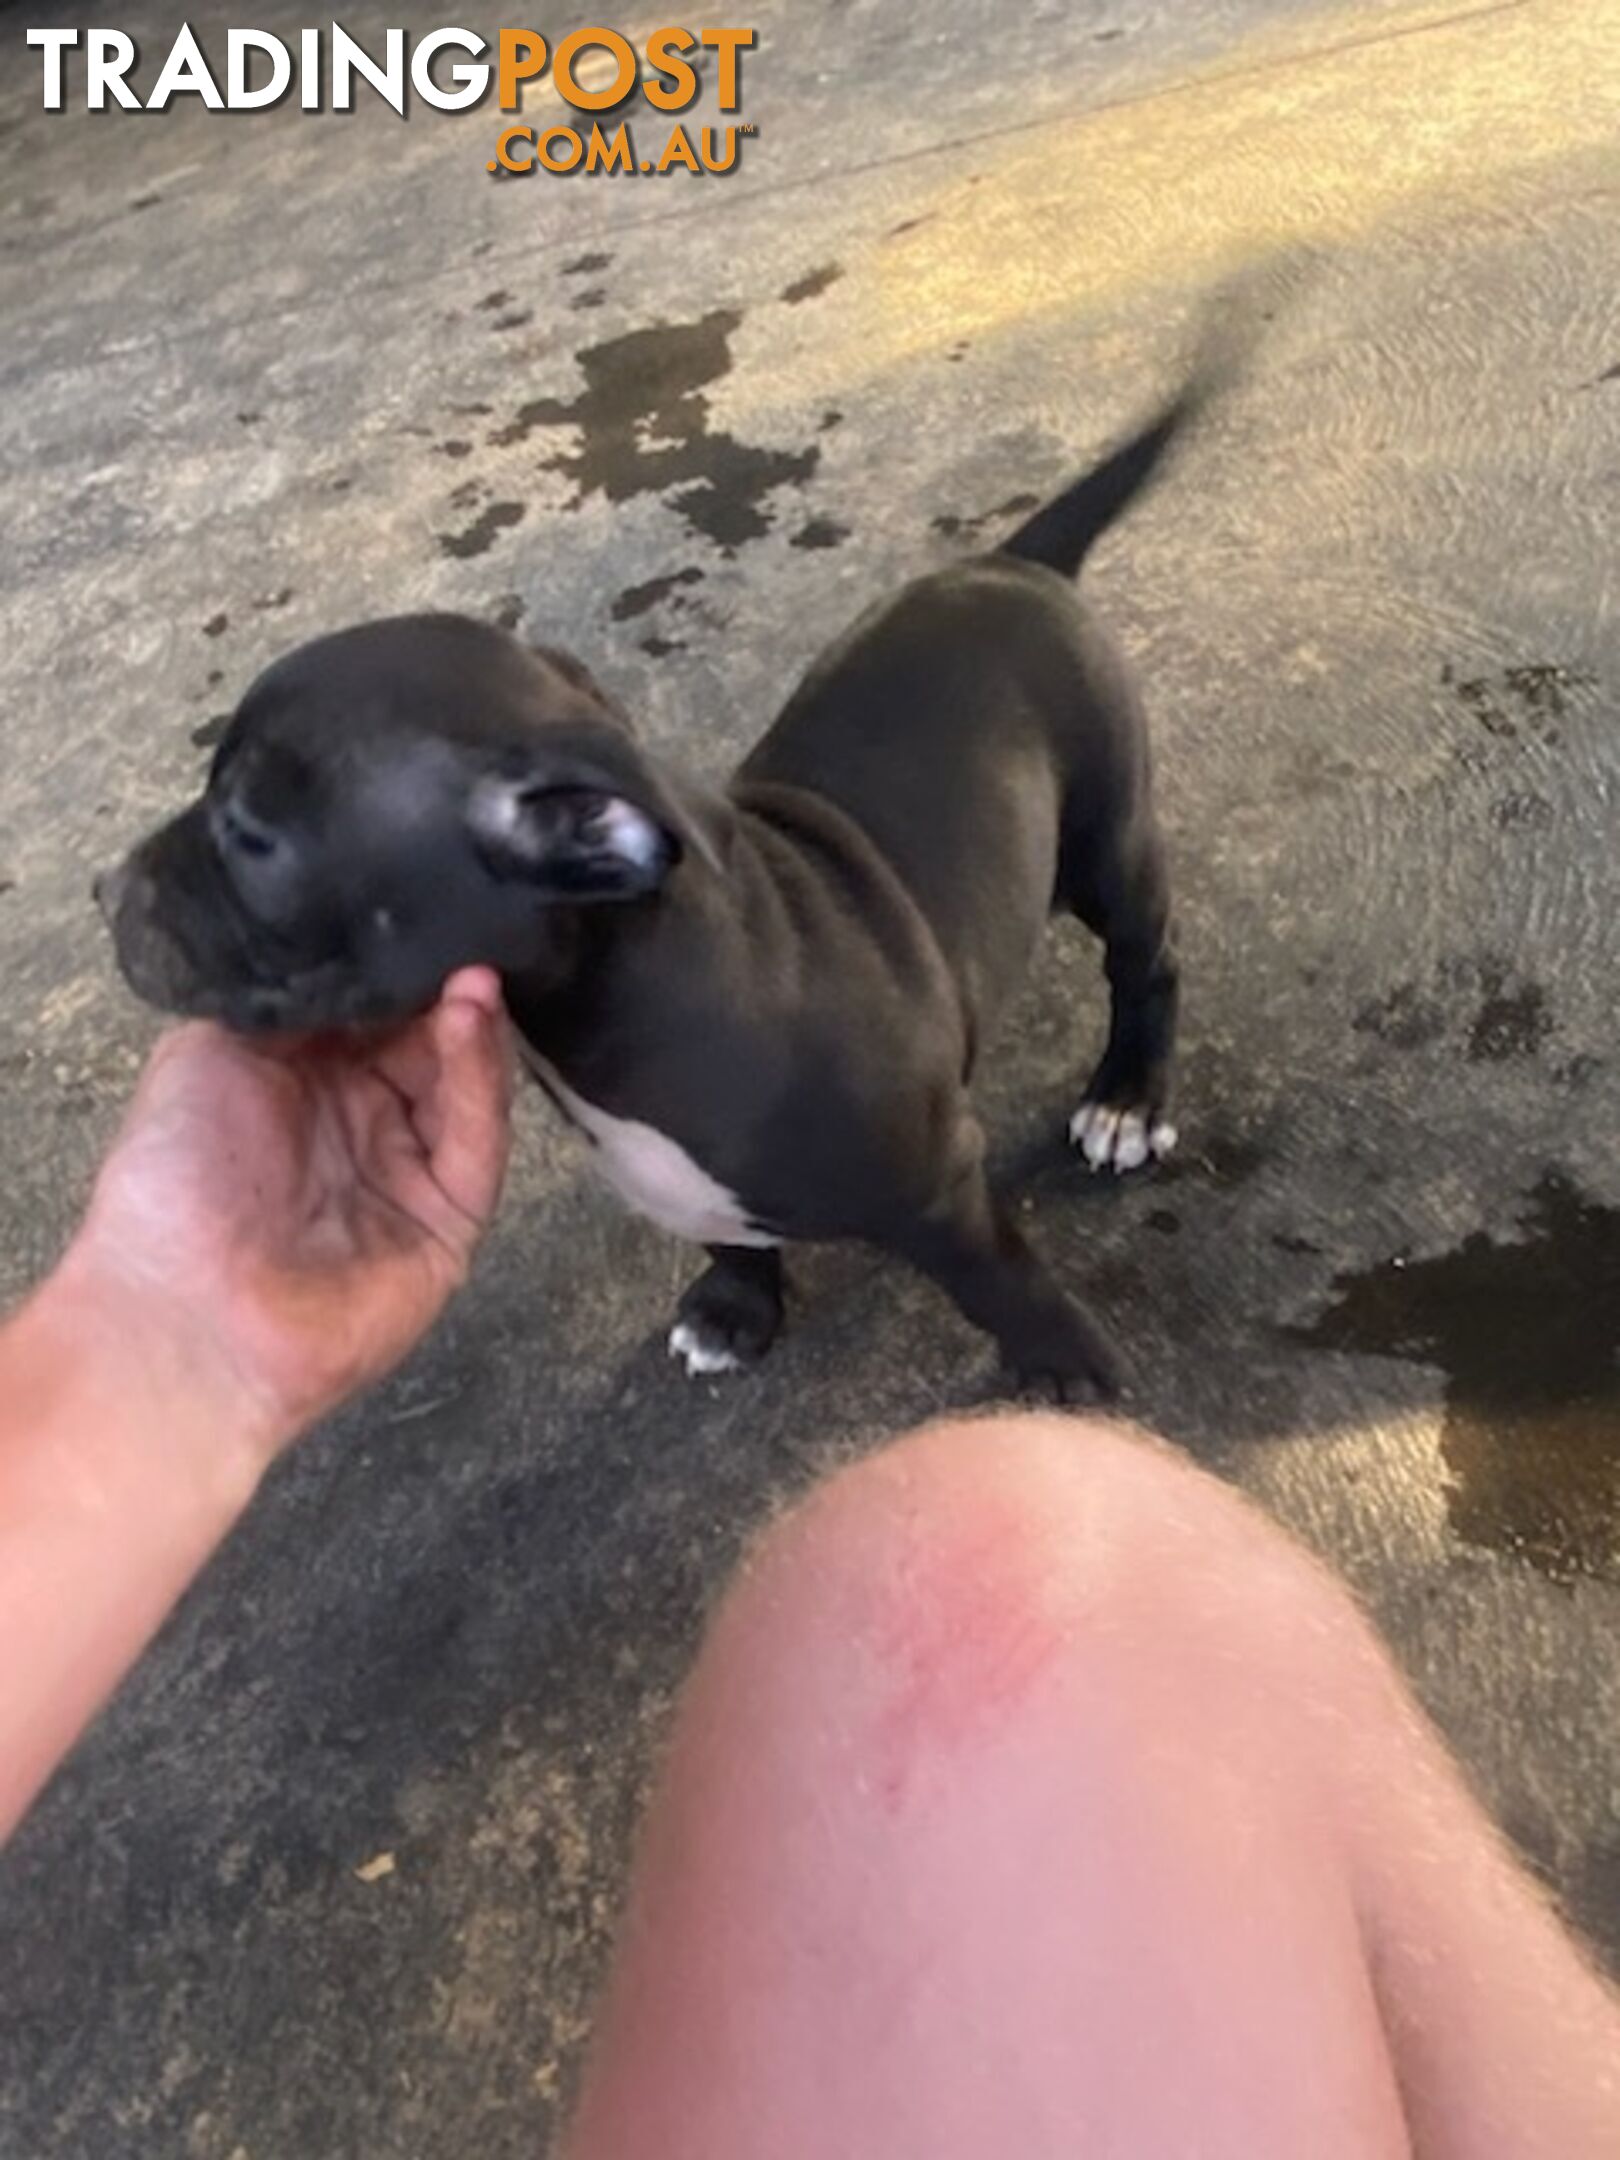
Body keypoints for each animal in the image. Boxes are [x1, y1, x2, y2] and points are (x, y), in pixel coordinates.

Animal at [101, 367, 1218, 1399]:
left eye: (247, 832)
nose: (104, 890)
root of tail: (1013, 565)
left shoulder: (939, 1178)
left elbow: (996, 1276)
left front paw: (1063, 1364)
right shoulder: (679, 1181)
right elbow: (726, 1232)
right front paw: (735, 1310)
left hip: (1108, 839)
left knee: (1147, 960)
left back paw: (1126, 1097)